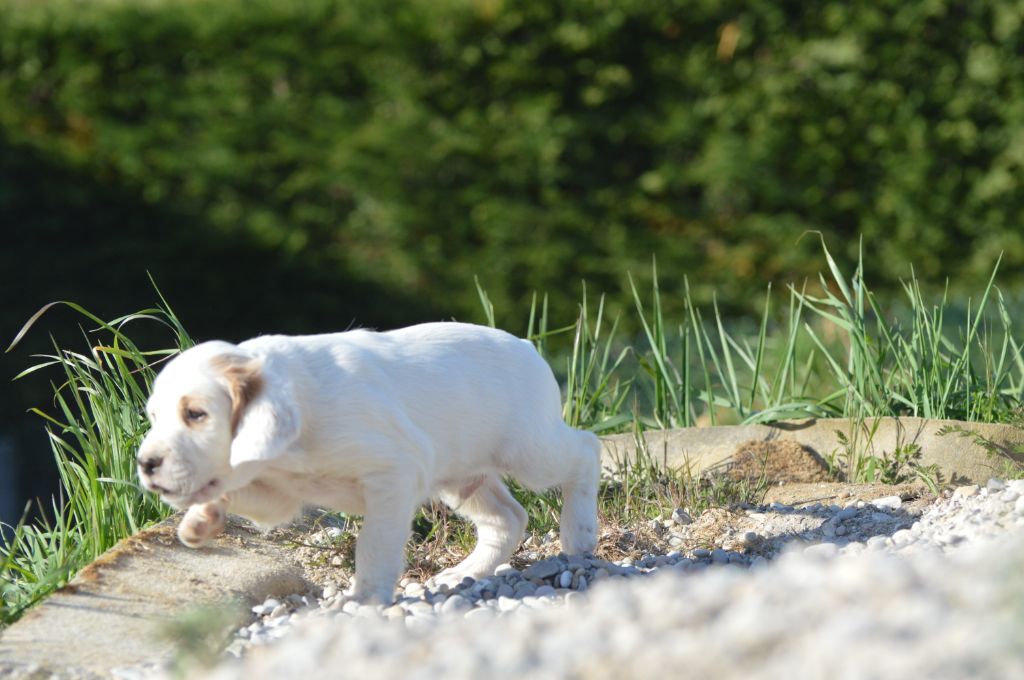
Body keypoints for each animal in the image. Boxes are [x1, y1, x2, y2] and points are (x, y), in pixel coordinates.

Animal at [136, 321, 598, 602]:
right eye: (154, 417)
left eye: (196, 414)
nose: (145, 464)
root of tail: (526, 346)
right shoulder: (277, 495)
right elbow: (237, 488)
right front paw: (200, 520)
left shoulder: (395, 473)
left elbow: (374, 544)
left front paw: (365, 600)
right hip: (463, 475)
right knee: (507, 518)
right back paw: (461, 574)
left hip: (529, 451)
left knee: (586, 449)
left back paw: (579, 537)